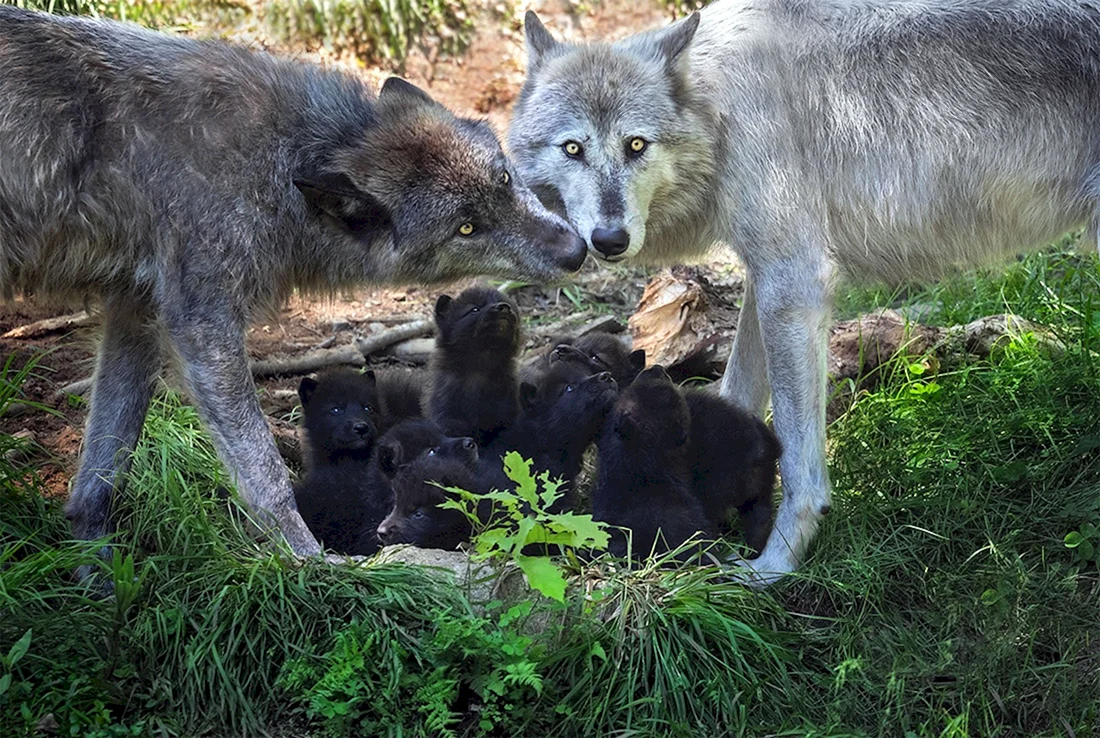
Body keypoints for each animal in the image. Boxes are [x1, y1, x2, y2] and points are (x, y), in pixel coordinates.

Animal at [0, 6, 586, 573]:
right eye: (466, 227)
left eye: (503, 180)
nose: (577, 250)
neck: (280, 161)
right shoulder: (201, 322)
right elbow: (266, 474)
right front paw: (310, 563)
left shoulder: (135, 311)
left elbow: (102, 472)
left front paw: (97, 574)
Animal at [508, 0, 1100, 584]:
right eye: (573, 148)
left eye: (636, 145)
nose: (609, 240)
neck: (719, 111)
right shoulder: (766, 278)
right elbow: (735, 390)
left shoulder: (793, 284)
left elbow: (798, 463)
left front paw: (774, 566)